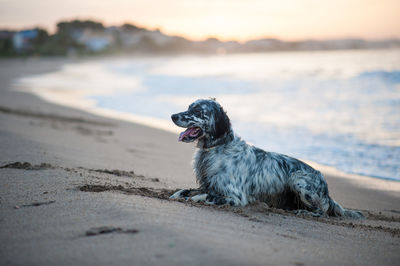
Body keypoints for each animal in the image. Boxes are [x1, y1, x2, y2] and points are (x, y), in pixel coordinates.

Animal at [170, 98, 364, 218]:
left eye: (197, 111)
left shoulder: (236, 197)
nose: (172, 115)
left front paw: (194, 199)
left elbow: (204, 196)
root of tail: (326, 190)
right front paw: (177, 194)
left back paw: (306, 213)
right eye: (189, 107)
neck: (216, 148)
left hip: (298, 179)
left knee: (322, 211)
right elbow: (184, 191)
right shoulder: (207, 184)